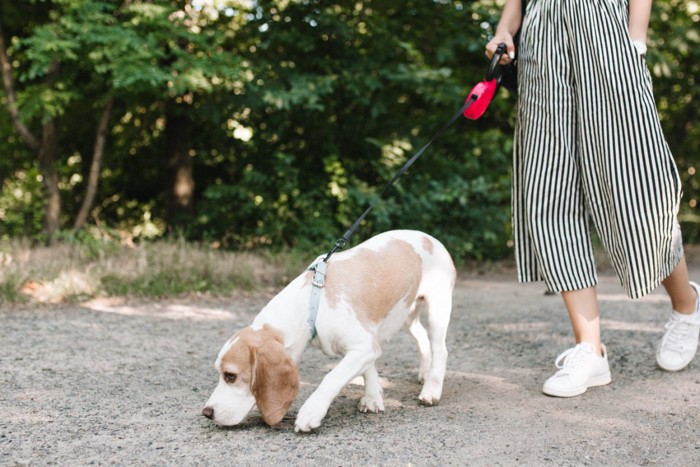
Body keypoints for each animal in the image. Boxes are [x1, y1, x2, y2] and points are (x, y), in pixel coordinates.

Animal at [200, 229, 456, 434]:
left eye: (230, 376)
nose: (206, 413)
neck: (311, 303)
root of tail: (430, 238)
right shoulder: (367, 344)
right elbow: (369, 370)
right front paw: (373, 396)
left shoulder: (363, 347)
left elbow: (331, 377)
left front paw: (311, 412)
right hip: (405, 315)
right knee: (422, 338)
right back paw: (424, 373)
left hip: (437, 309)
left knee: (440, 349)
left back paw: (432, 389)